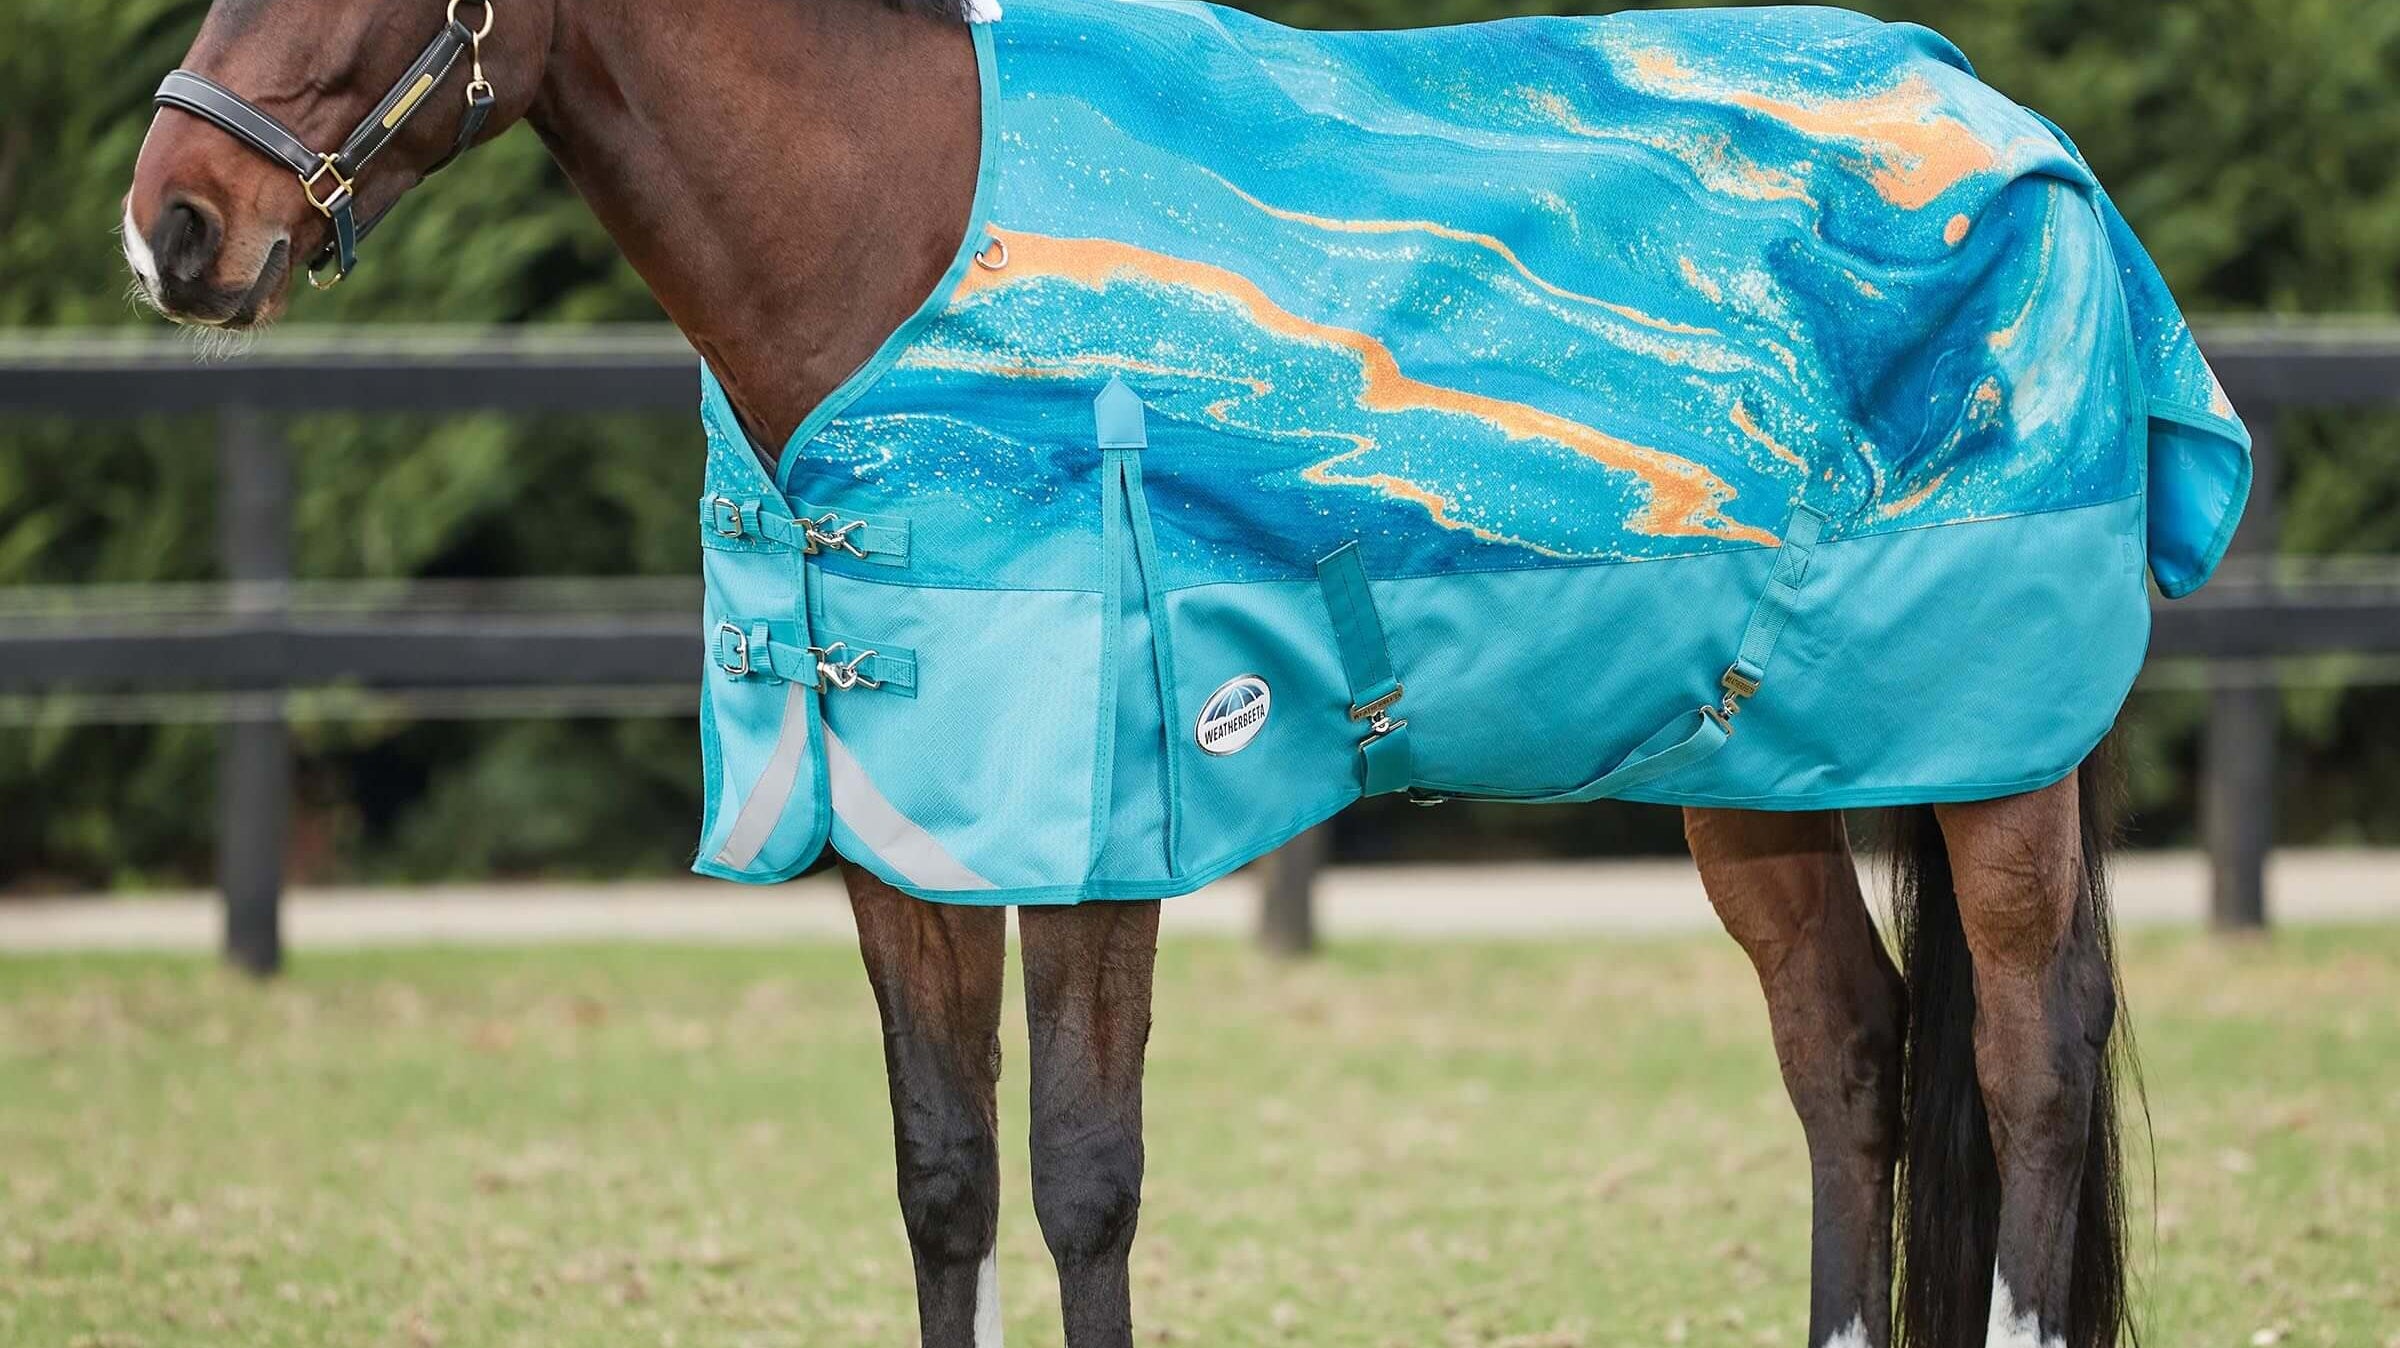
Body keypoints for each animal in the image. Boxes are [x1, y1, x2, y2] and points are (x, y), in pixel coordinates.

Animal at [119, 1, 2180, 1344]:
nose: (173, 222)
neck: (900, 244)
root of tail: (2016, 134)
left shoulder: (1104, 824)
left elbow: (1084, 1175)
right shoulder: (909, 828)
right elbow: (947, 1172)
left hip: (1995, 755)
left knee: (2029, 1055)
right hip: (1751, 770)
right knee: (1848, 1054)